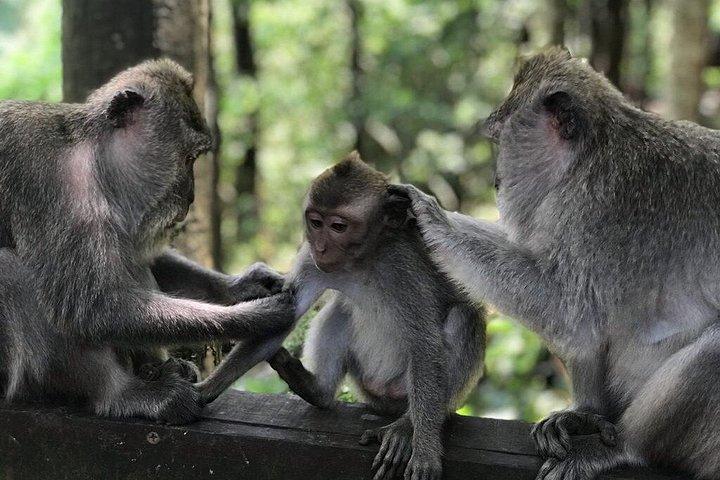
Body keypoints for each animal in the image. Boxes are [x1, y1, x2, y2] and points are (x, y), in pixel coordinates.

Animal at [0, 59, 294, 425]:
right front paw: (258, 317)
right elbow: (90, 306)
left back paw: (156, 369)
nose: (191, 198)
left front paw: (243, 286)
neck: (89, 155)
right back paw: (123, 394)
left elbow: (141, 255)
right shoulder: (56, 188)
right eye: (188, 159)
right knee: (10, 271)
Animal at [198, 152, 485, 480]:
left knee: (463, 318)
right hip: (366, 380)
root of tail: (385, 393)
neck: (363, 260)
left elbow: (425, 342)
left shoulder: (403, 266)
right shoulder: (310, 260)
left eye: (338, 226)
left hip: (415, 389)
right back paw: (317, 390)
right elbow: (285, 315)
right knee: (340, 310)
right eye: (315, 222)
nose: (321, 247)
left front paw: (422, 447)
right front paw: (202, 391)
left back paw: (406, 424)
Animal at [391, 45, 720, 479]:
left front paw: (430, 216)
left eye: (502, 142)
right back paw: (590, 414)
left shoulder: (596, 209)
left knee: (711, 349)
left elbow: (570, 311)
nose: (497, 180)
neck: (591, 152)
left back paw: (626, 447)